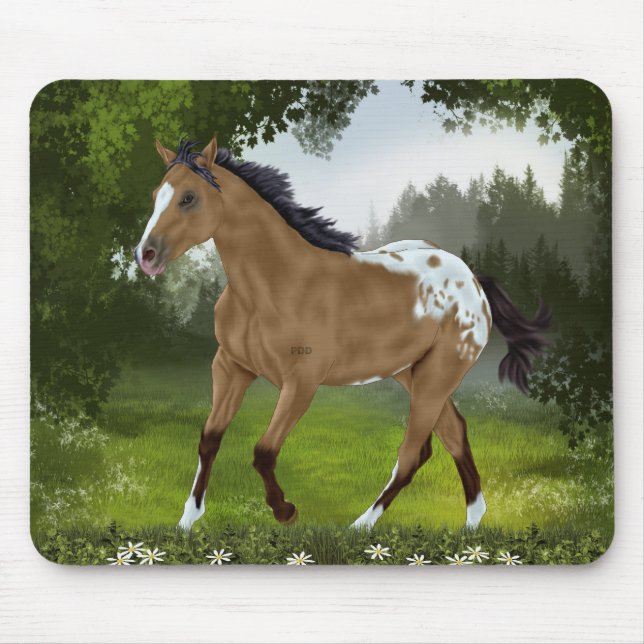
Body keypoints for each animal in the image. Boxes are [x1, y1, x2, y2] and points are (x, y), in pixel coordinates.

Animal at [134, 136, 550, 531]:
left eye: (189, 197)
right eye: (155, 195)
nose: (145, 255)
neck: (276, 284)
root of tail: (472, 281)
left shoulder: (301, 382)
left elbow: (263, 451)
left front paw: (285, 511)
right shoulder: (231, 368)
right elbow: (209, 439)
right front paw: (187, 521)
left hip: (438, 375)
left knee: (412, 453)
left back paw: (360, 527)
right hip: (411, 373)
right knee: (453, 434)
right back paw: (472, 522)